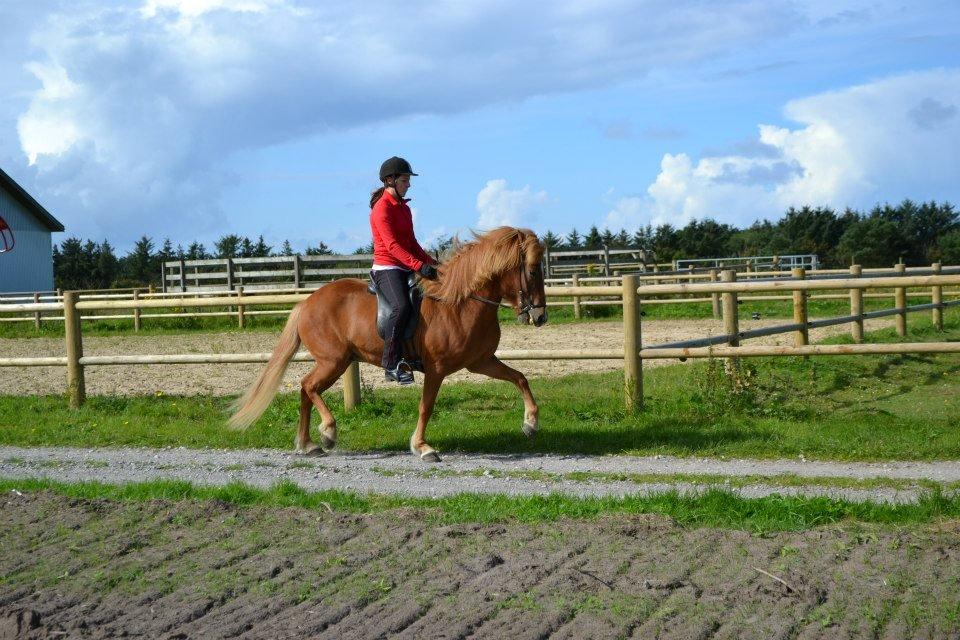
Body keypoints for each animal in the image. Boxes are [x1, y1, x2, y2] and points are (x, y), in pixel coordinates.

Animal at [229, 228, 548, 462]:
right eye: (532, 270)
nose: (540, 316)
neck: (459, 303)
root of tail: (306, 303)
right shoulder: (437, 369)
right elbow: (426, 406)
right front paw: (422, 447)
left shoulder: (480, 361)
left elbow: (520, 378)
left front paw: (531, 423)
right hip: (333, 361)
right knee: (308, 386)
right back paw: (328, 433)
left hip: (337, 362)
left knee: (306, 390)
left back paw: (308, 444)